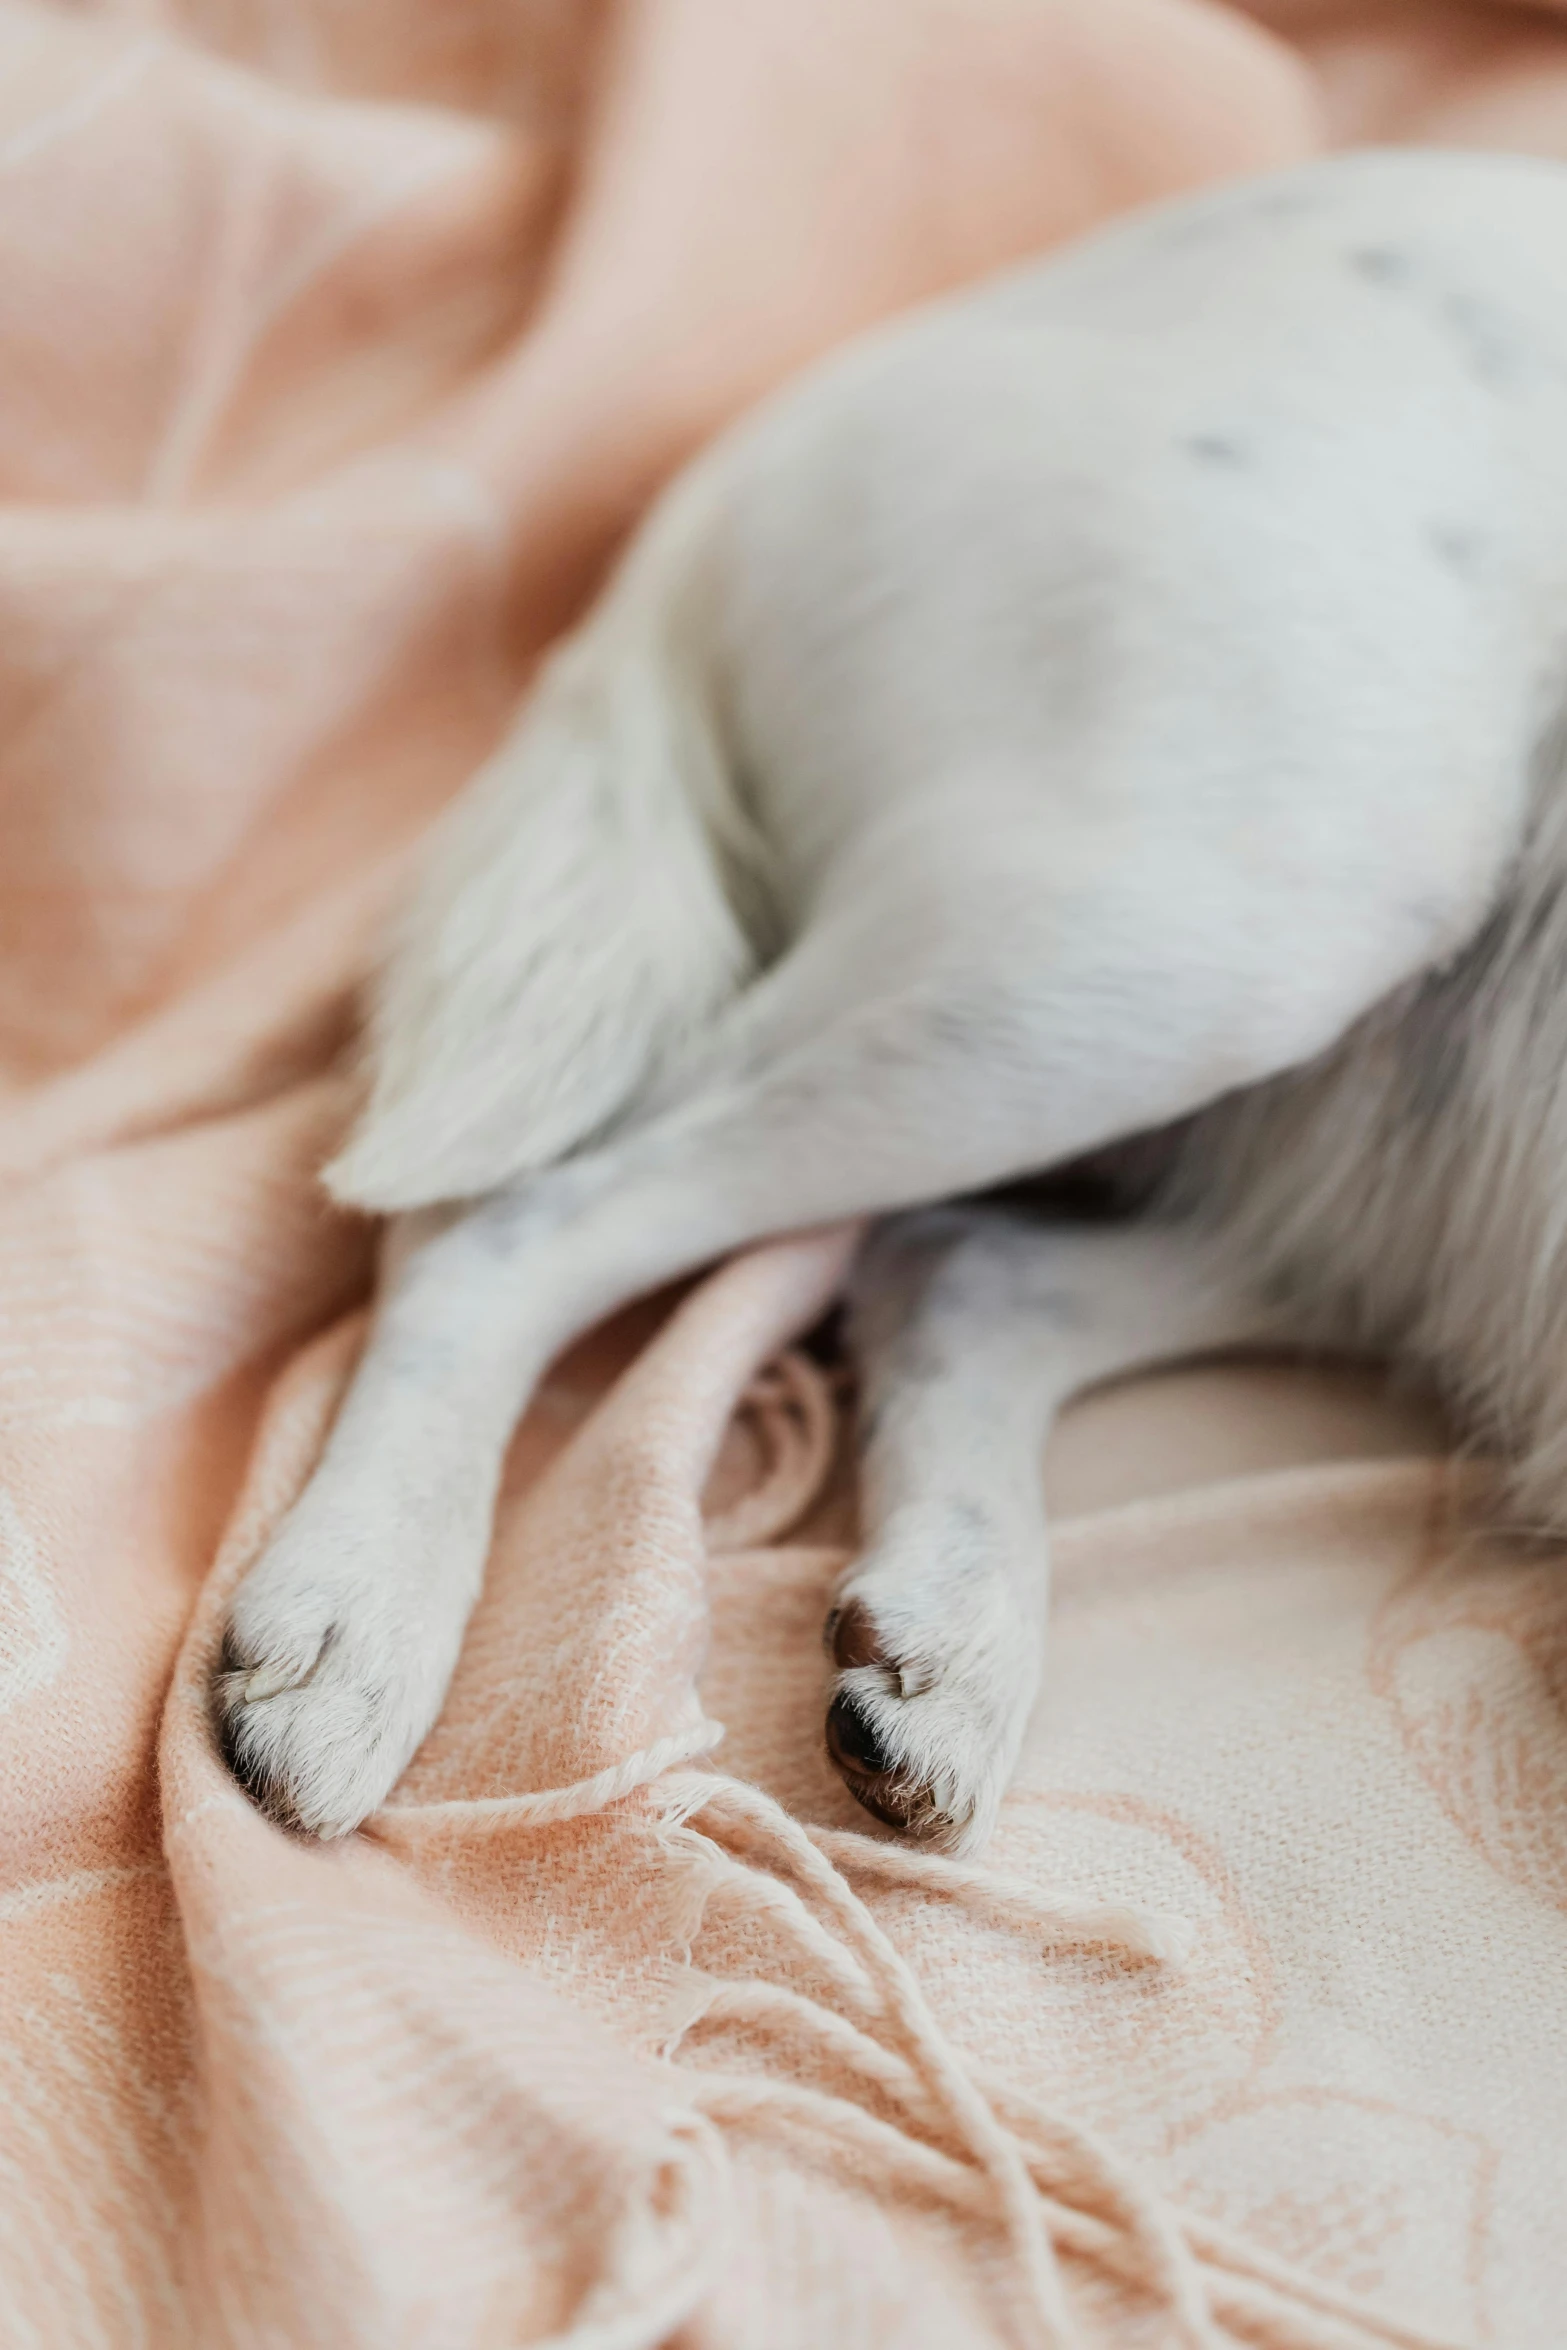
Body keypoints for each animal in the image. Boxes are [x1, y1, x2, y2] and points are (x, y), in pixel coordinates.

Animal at [214, 156, 1567, 1851]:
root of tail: (743, 464)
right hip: (1207, 916)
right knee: (495, 1225)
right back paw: (356, 1624)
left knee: (962, 1273)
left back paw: (952, 1640)